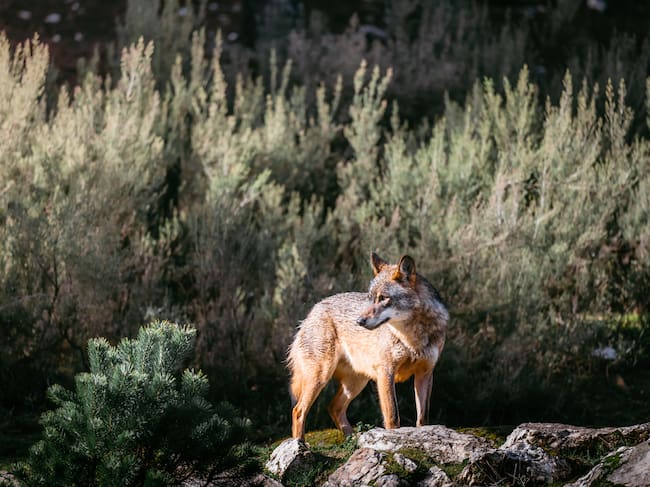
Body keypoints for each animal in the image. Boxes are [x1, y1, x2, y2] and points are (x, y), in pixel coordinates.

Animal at [287, 252, 449, 440]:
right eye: (370, 298)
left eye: (383, 298)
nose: (359, 321)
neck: (412, 339)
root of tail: (312, 311)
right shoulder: (385, 372)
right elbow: (393, 417)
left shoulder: (425, 373)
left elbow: (423, 418)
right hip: (321, 377)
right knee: (298, 411)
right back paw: (300, 444)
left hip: (356, 383)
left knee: (333, 407)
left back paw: (353, 439)